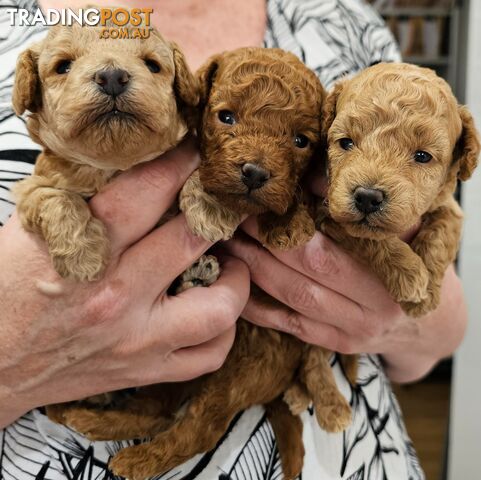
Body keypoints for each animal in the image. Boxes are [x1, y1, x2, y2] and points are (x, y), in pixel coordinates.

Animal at [12, 17, 197, 282]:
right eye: (63, 66)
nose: (111, 77)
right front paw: (83, 258)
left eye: (152, 65)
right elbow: (56, 198)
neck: (111, 166)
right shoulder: (30, 188)